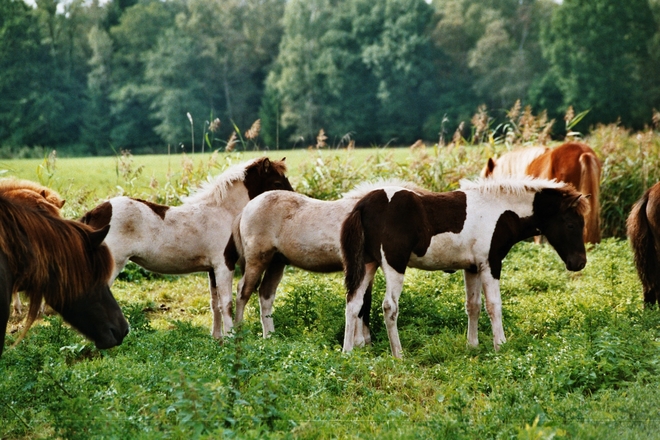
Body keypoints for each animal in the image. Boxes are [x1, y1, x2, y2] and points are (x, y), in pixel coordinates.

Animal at [80, 156, 292, 338]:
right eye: (277, 183)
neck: (222, 212)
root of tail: (92, 214)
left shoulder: (212, 269)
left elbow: (215, 304)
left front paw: (218, 338)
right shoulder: (224, 265)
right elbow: (226, 303)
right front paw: (231, 337)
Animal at [340, 177, 588, 360]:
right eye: (570, 224)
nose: (579, 263)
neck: (500, 210)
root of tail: (363, 205)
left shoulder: (472, 268)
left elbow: (473, 306)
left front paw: (472, 346)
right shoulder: (491, 264)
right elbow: (494, 305)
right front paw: (501, 345)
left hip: (368, 264)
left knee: (353, 304)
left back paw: (348, 352)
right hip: (394, 265)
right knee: (389, 307)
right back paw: (398, 354)